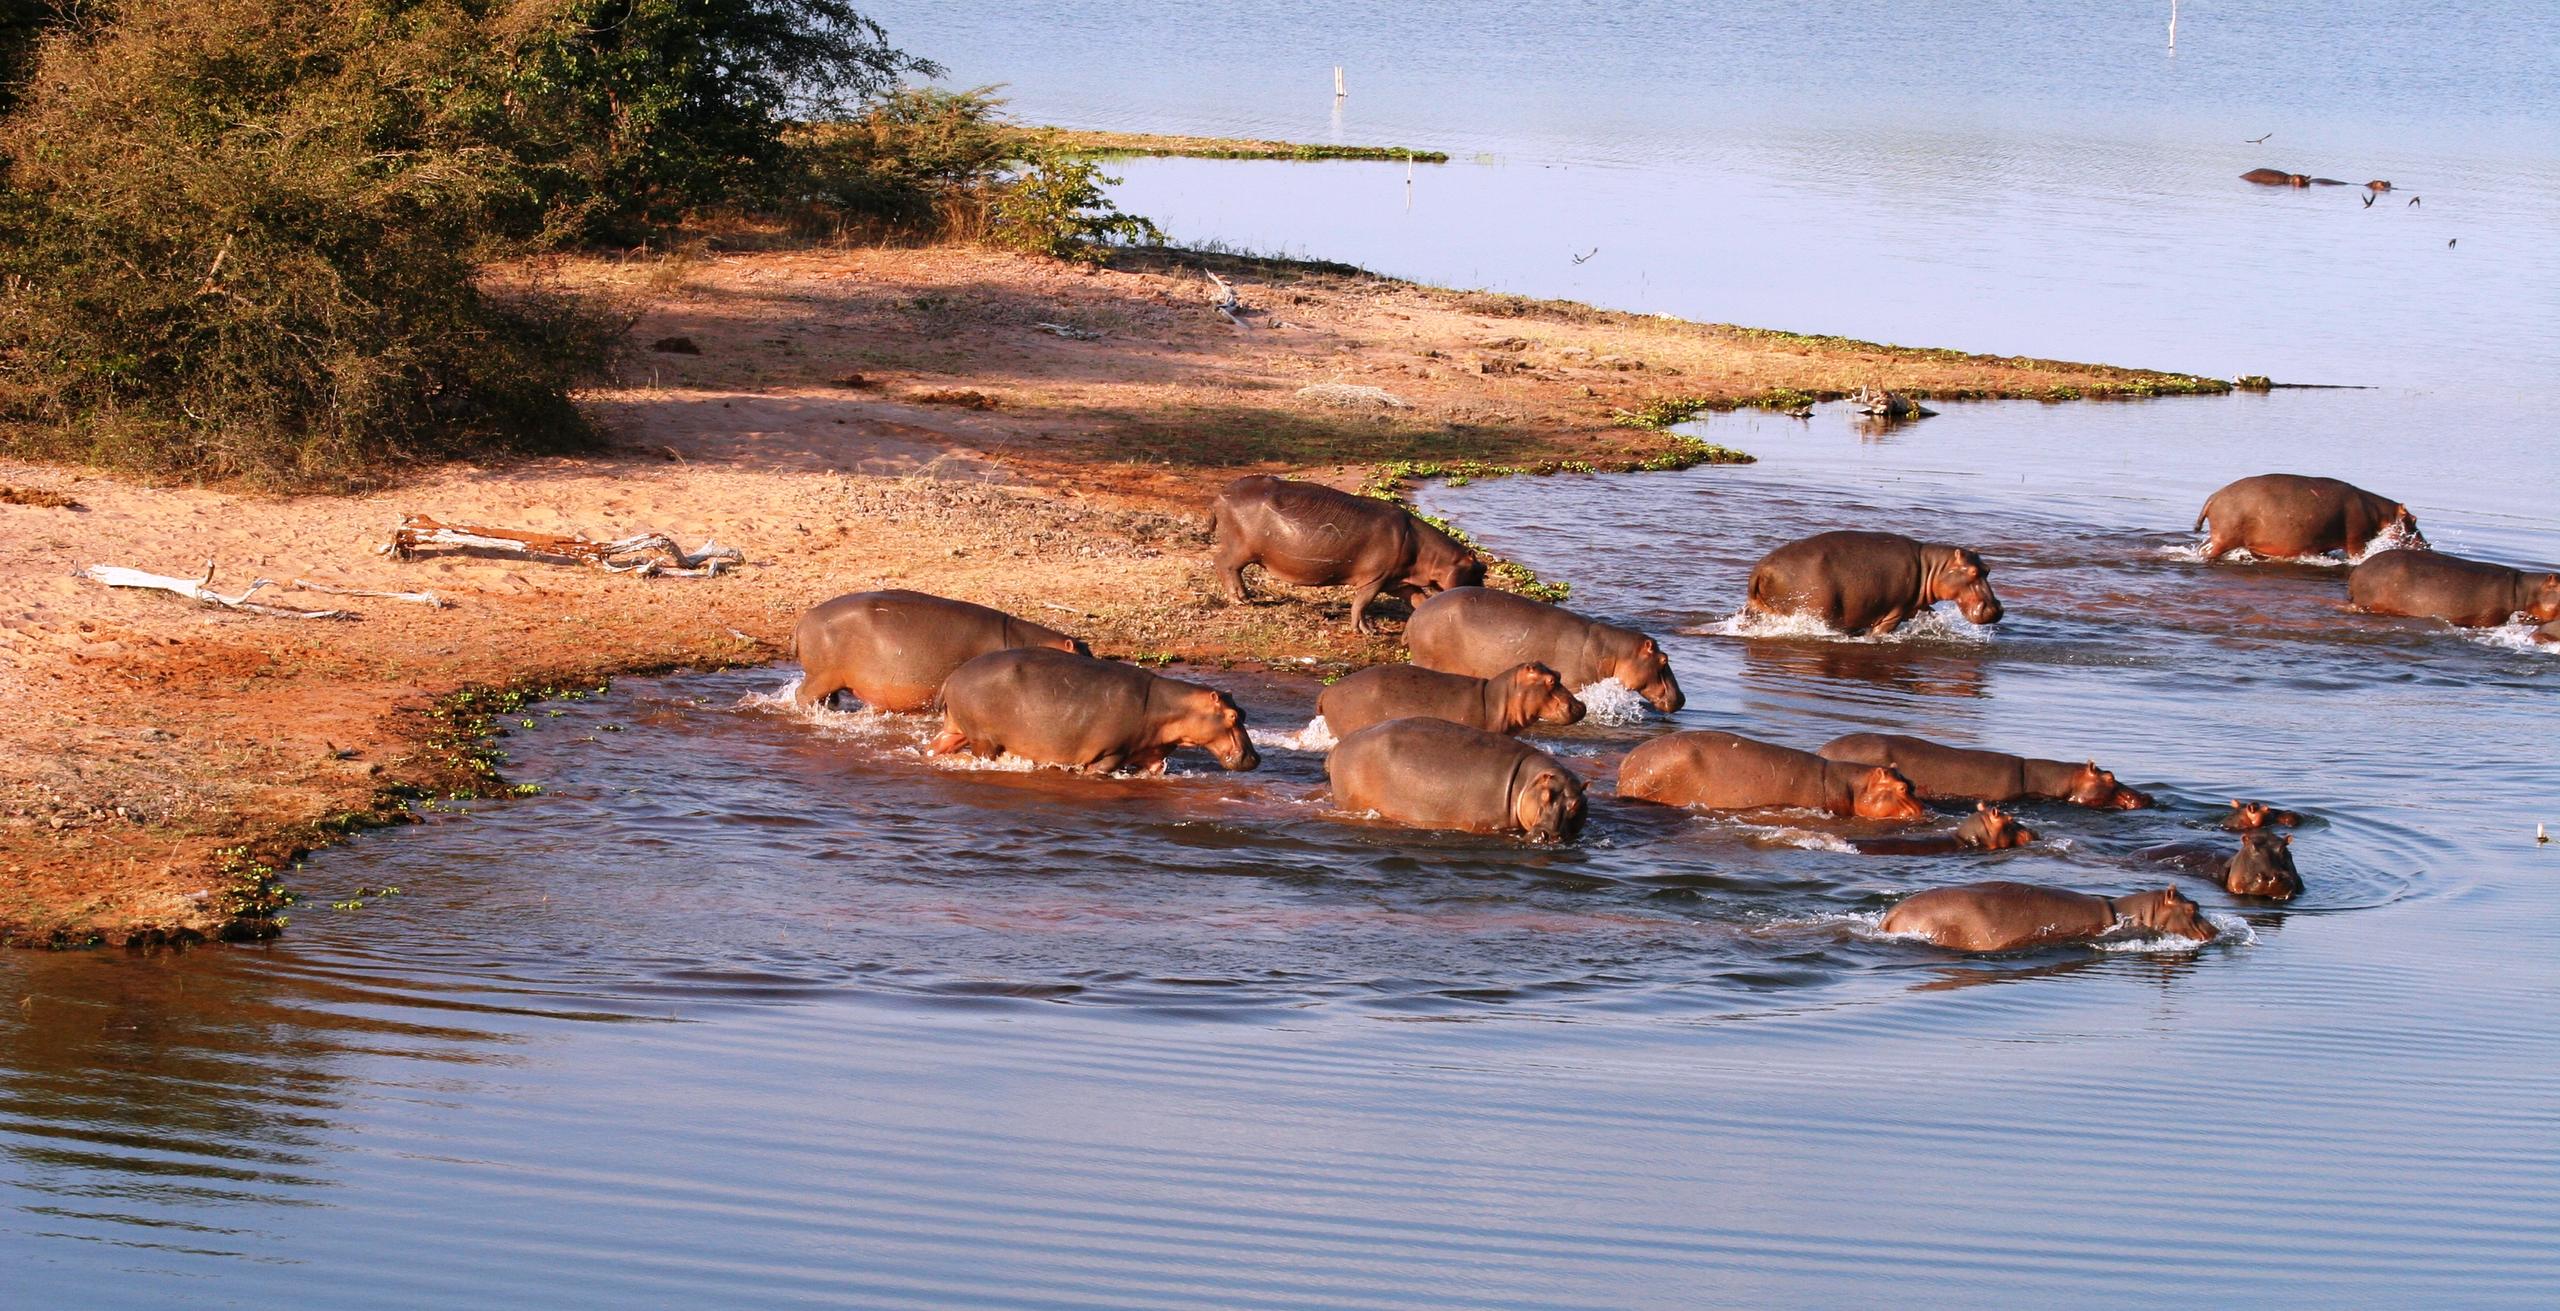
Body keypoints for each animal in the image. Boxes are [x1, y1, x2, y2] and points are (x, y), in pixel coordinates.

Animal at [927, 648, 1257, 775]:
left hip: (956, 729)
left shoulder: (1152, 756)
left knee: (936, 747)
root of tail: (951, 678)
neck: (1173, 707)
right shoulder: (1110, 755)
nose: (1256, 758)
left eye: (1243, 713)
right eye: (1232, 716)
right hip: (984, 739)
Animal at [1209, 475, 1485, 633]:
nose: (1482, 595)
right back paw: (1241, 600)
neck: (1433, 556)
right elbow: (1362, 603)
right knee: (1224, 564)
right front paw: (1367, 630)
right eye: (1480, 569)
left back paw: (1245, 598)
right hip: (1242, 548)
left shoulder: (1397, 581)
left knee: (1228, 567)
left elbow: (1418, 598)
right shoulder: (1375, 578)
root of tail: (1221, 494)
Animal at [1744, 531, 2004, 635]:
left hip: (1757, 608)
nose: (1996, 609)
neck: (1933, 567)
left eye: (1988, 569)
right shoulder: (1895, 611)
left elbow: (1932, 617)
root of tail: (1761, 570)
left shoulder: (1916, 606)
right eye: (1972, 571)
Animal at [2193, 473, 2423, 561]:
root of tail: (2214, 497)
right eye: (2414, 520)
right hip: (2224, 537)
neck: (2381, 514)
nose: (2427, 545)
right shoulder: (2357, 541)